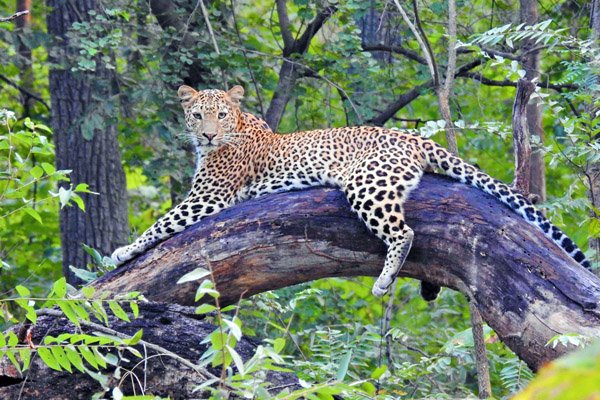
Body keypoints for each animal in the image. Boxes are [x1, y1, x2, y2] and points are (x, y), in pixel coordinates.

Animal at [110, 84, 592, 296]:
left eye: (221, 115)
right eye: (197, 115)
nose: (208, 135)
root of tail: (413, 138)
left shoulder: (209, 196)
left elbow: (163, 222)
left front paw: (122, 251)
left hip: (367, 185)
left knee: (405, 233)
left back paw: (383, 281)